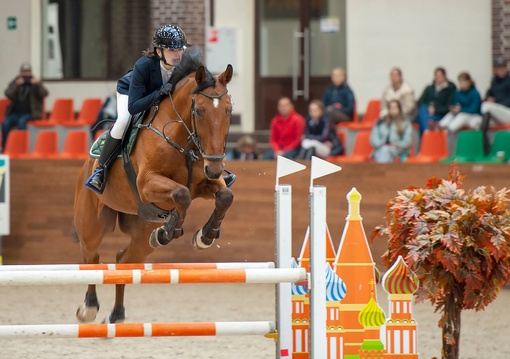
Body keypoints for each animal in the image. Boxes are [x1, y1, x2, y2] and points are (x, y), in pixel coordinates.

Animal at [72, 47, 235, 324]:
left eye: (228, 110)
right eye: (199, 111)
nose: (214, 166)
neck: (182, 139)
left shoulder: (205, 183)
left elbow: (224, 196)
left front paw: (204, 236)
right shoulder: (147, 184)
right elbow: (181, 194)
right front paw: (170, 230)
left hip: (141, 234)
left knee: (124, 261)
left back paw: (117, 315)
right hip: (92, 223)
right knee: (91, 256)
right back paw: (89, 308)